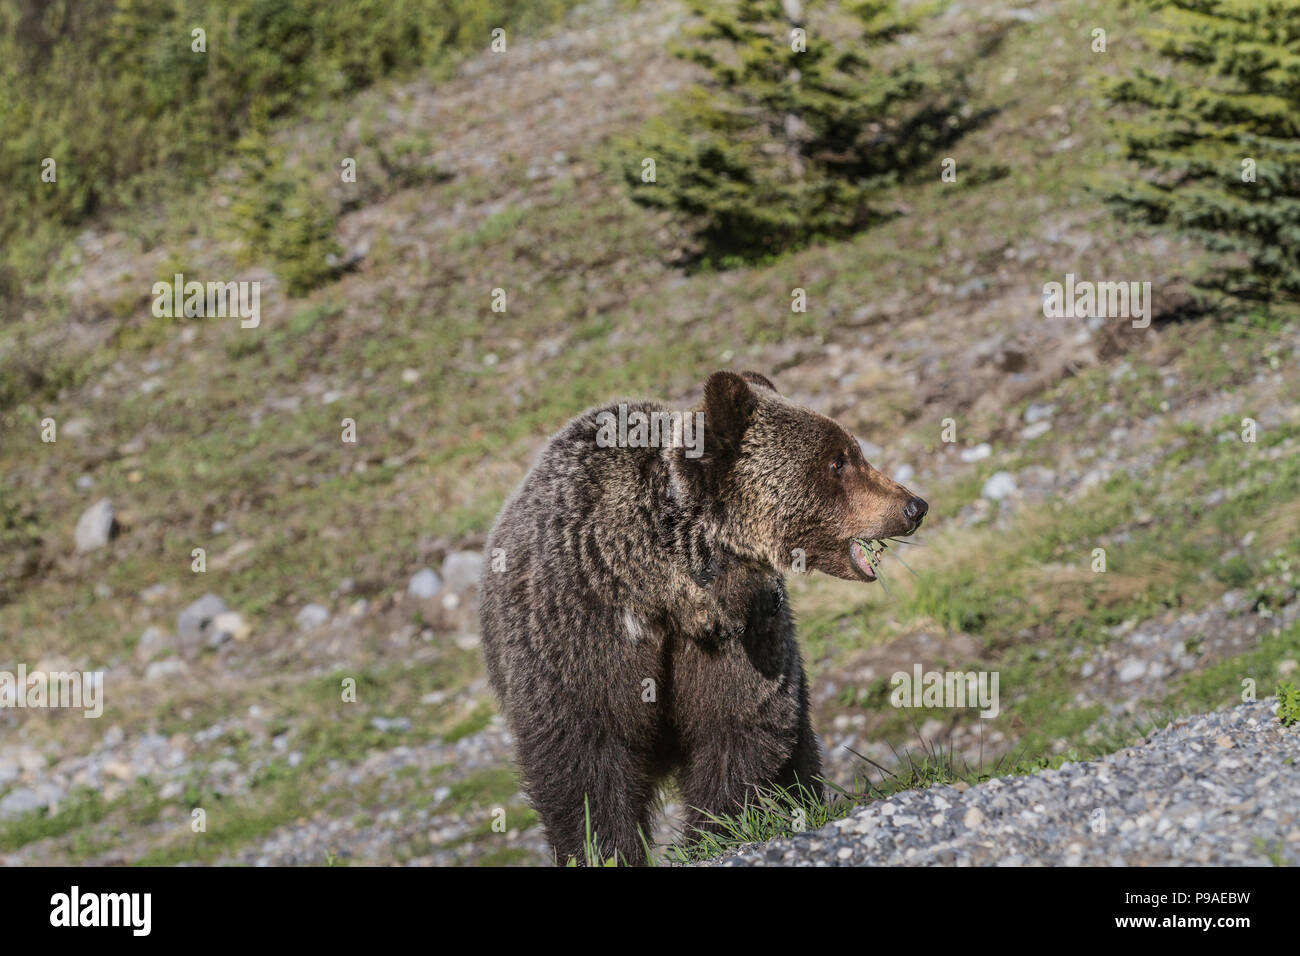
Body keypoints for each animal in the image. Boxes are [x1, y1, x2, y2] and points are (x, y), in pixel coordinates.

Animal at [478, 369, 925, 863]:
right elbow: (583, 750)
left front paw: (716, 830)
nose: (913, 506)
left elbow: (734, 726)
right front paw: (606, 849)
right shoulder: (583, 623)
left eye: (851, 451)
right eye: (838, 460)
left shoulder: (743, 630)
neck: (668, 589)